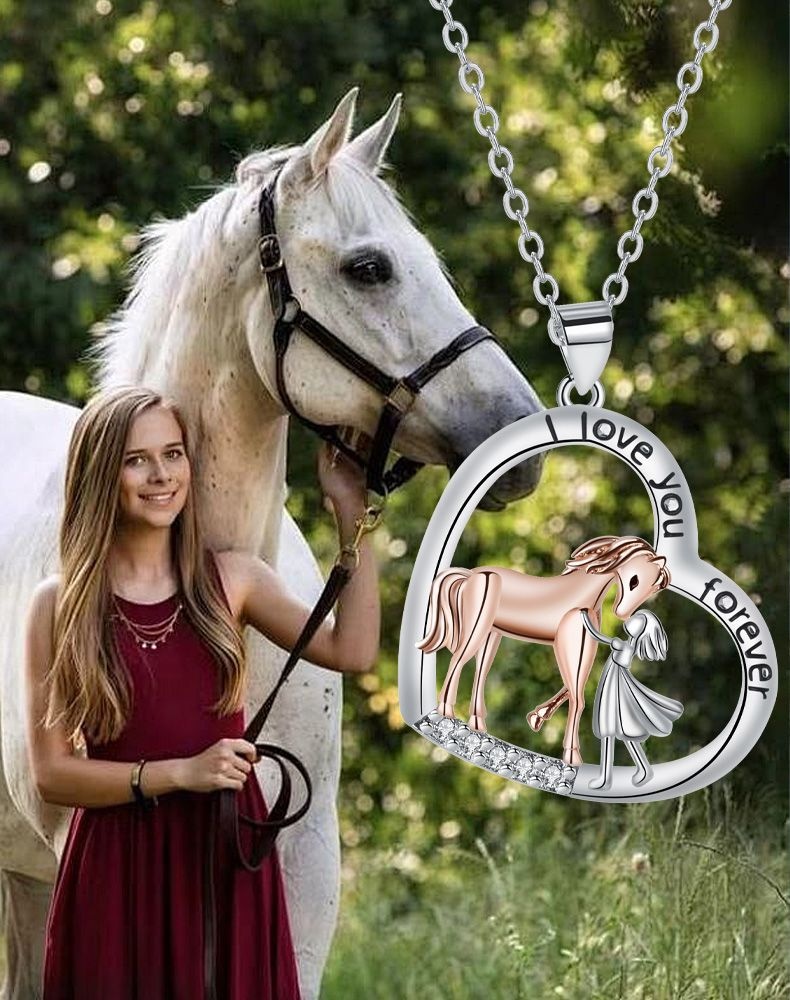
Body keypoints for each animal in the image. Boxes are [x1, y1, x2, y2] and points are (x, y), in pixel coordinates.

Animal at [416, 535, 670, 766]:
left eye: (653, 587)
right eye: (634, 580)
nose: (623, 614)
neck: (579, 597)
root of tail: (472, 575)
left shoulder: (585, 645)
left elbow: (575, 690)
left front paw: (536, 718)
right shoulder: (569, 643)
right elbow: (577, 697)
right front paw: (571, 756)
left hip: (491, 633)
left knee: (480, 671)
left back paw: (478, 725)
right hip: (477, 627)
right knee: (458, 661)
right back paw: (447, 714)